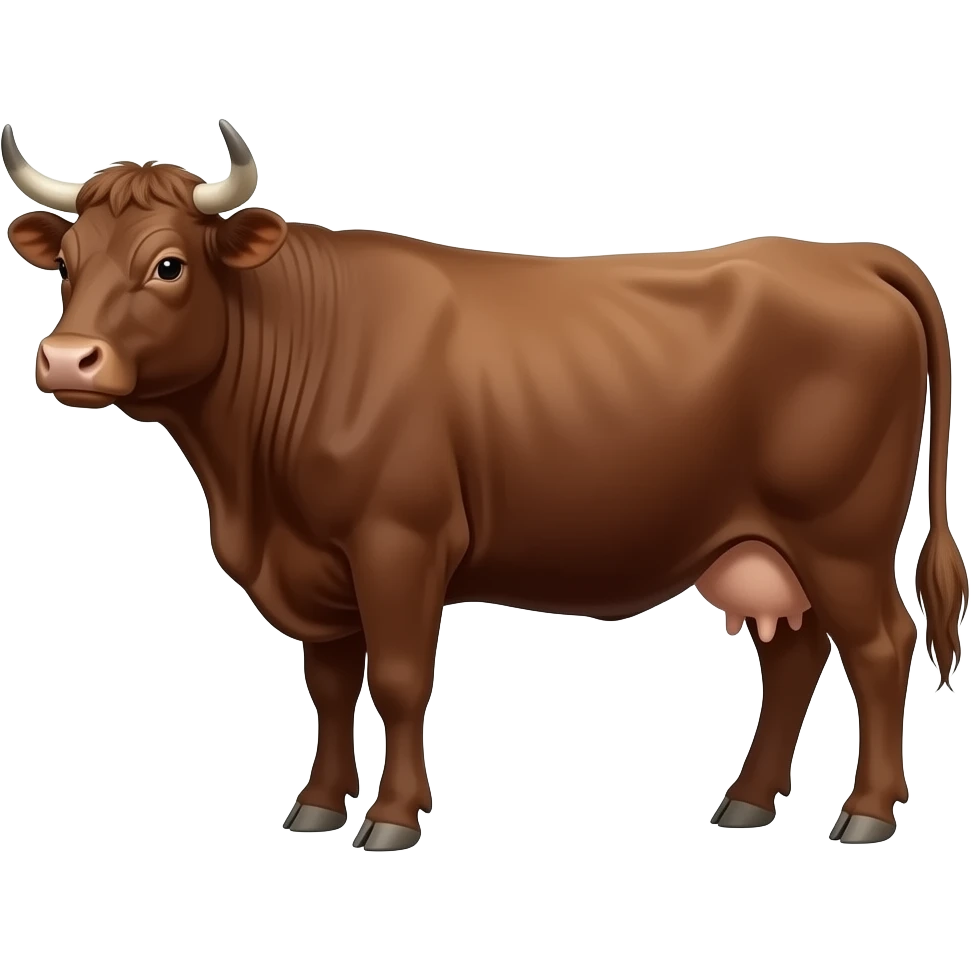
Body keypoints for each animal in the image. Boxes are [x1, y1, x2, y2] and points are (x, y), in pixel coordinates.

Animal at [4, 121, 966, 850]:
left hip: (840, 534)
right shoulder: (316, 563)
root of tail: (847, 257)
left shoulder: (398, 541)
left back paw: (866, 814)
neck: (250, 489)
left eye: (168, 265)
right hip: (768, 546)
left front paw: (391, 819)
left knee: (880, 647)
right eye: (68, 264)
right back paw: (745, 802)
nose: (66, 359)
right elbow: (327, 683)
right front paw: (315, 805)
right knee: (796, 655)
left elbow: (397, 678)